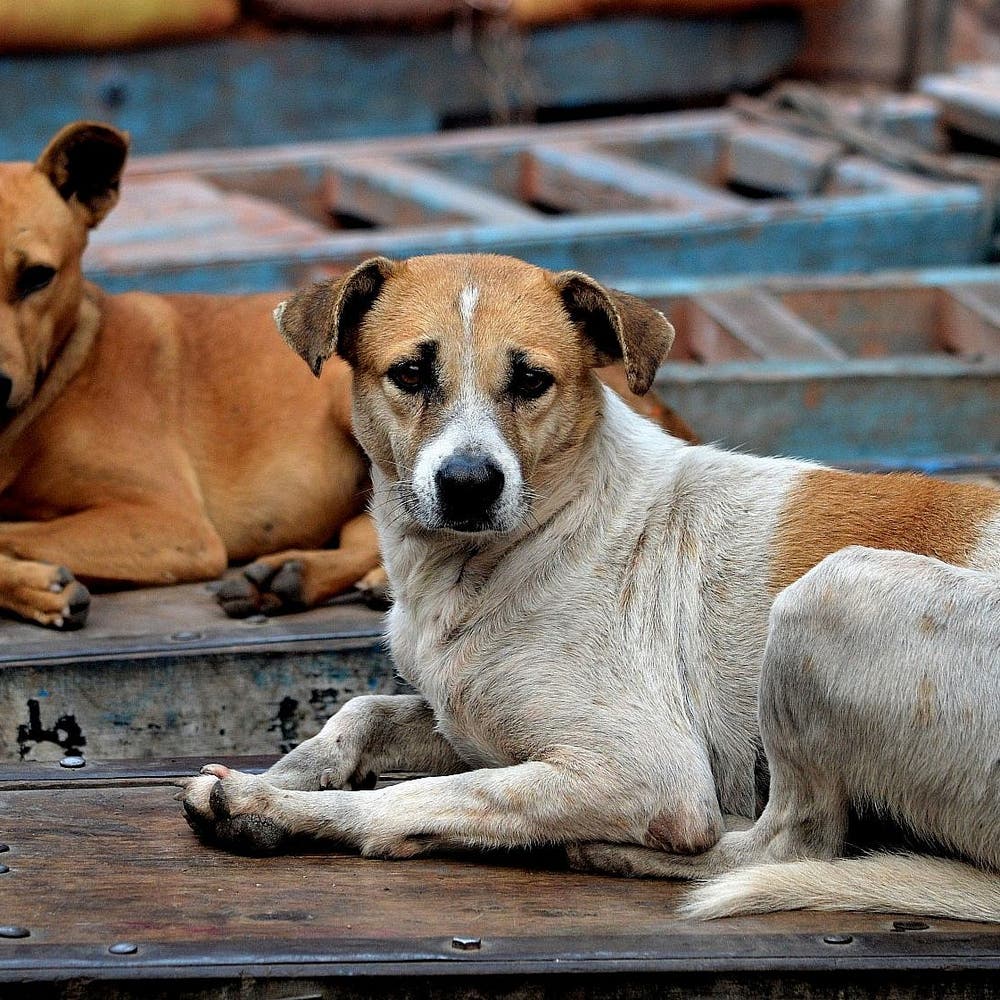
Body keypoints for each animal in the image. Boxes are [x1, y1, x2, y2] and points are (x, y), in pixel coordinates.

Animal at [0, 121, 692, 628]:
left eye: (37, 276)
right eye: (409, 374)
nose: (469, 487)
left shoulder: (171, 526)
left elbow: (10, 532)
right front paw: (37, 588)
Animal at [182, 256, 1000, 920]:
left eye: (531, 381)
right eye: (411, 374)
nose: (470, 484)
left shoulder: (649, 773)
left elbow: (418, 797)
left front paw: (272, 806)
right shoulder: (473, 722)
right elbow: (362, 712)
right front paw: (289, 771)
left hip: (829, 594)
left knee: (792, 846)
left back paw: (620, 851)